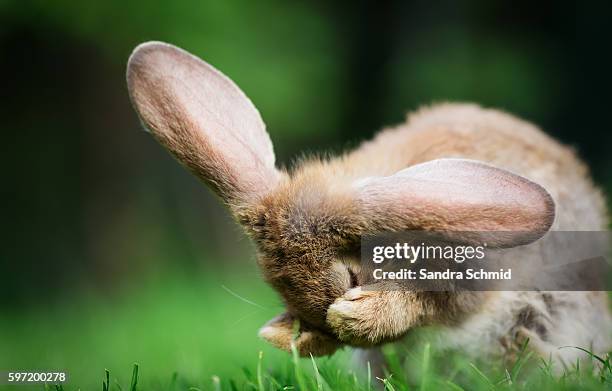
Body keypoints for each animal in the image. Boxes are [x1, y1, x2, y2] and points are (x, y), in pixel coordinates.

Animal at [126, 42, 608, 368]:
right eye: (279, 289)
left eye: (354, 276)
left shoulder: (474, 282)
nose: (318, 326)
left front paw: (353, 317)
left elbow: (430, 302)